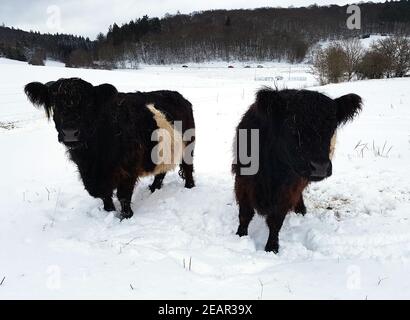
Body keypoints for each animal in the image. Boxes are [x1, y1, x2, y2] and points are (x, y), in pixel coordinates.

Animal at [24, 77, 196, 220]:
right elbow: (105, 195)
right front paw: (108, 211)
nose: (70, 132)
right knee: (161, 171)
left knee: (187, 168)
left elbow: (123, 195)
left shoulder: (127, 169)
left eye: (88, 104)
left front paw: (126, 216)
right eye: (55, 104)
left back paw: (189, 186)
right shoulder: (91, 176)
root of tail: (178, 95)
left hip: (188, 145)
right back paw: (154, 188)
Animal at [234, 87, 362, 252]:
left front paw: (272, 248)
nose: (320, 167)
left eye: (332, 127)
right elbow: (245, 214)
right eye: (291, 125)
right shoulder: (243, 181)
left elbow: (276, 221)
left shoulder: (288, 189)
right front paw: (240, 237)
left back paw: (301, 210)